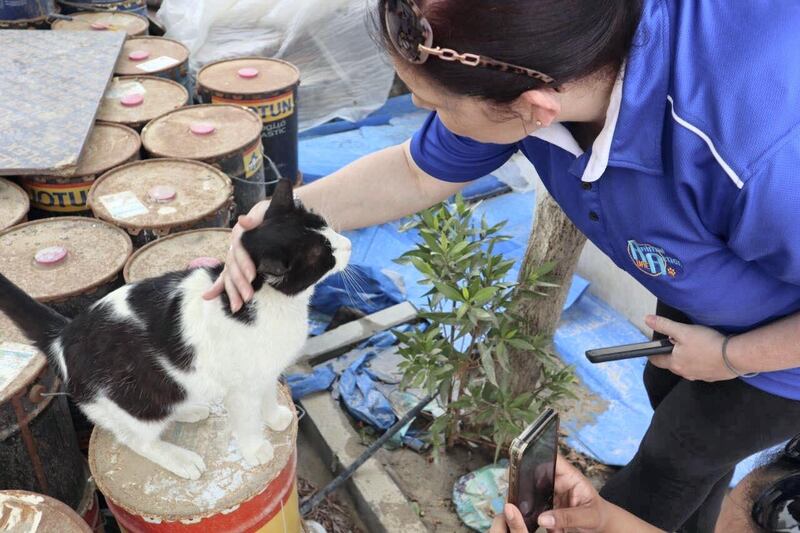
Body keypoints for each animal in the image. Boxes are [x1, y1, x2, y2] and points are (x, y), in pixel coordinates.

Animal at [0, 179, 350, 478]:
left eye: (325, 225)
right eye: (325, 254)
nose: (346, 244)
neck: (278, 306)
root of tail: (66, 333)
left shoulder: (265, 370)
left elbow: (266, 393)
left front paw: (274, 416)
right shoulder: (240, 387)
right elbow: (247, 419)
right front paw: (255, 449)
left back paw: (189, 410)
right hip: (127, 399)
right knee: (137, 437)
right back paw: (179, 458)